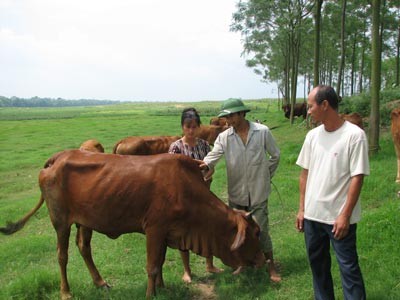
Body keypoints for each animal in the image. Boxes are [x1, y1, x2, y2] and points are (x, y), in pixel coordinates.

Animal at [1, 151, 268, 298]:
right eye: (256, 232)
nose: (263, 260)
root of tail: (57, 158)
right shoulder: (154, 229)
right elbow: (152, 265)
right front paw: (151, 293)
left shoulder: (166, 233)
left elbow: (160, 262)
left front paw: (162, 288)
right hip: (60, 221)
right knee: (62, 255)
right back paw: (66, 292)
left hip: (85, 222)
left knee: (84, 248)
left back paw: (101, 283)